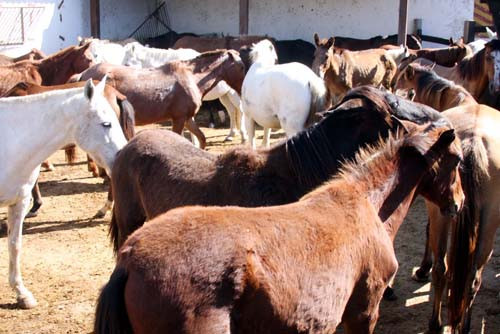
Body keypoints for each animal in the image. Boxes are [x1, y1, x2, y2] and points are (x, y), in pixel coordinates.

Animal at [77, 49, 246, 149]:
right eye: (241, 67)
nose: (244, 88)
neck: (191, 78)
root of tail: (84, 74)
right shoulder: (179, 119)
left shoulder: (187, 118)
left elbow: (202, 138)